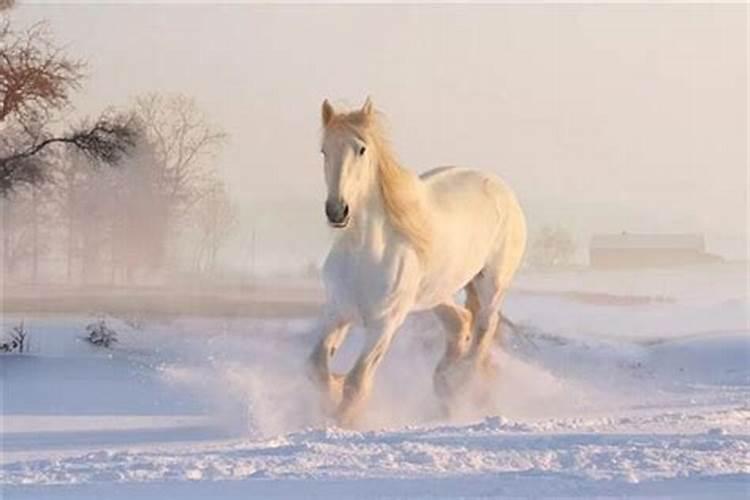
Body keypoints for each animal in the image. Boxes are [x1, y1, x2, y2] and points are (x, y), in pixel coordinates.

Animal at [306, 97, 528, 426]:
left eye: (361, 149)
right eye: (324, 150)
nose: (337, 211)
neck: (364, 253)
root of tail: (501, 188)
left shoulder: (384, 324)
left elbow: (357, 383)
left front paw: (342, 421)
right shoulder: (338, 311)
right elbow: (317, 368)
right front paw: (331, 394)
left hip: (492, 285)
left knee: (483, 330)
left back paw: (459, 386)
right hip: (435, 292)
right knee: (460, 321)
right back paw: (445, 383)